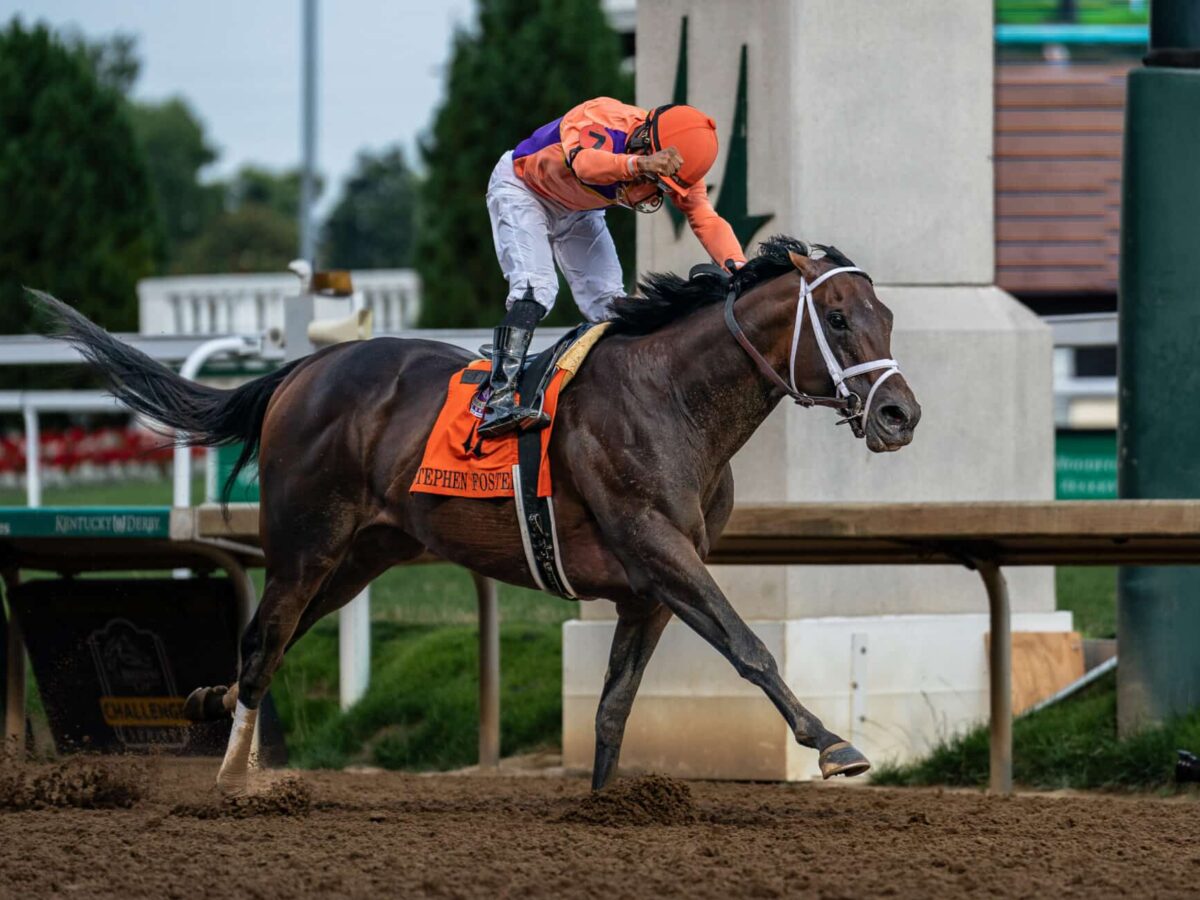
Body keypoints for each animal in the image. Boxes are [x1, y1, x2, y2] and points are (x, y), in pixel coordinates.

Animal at [35, 236, 916, 792]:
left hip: (362, 557)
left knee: (275, 646)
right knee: (263, 643)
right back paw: (231, 779)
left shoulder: (652, 585)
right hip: (303, 548)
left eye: (888, 317)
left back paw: (210, 707)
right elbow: (748, 646)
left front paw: (607, 804)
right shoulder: (657, 545)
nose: (900, 414)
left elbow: (613, 708)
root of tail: (300, 372)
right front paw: (833, 746)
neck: (670, 399)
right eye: (838, 318)